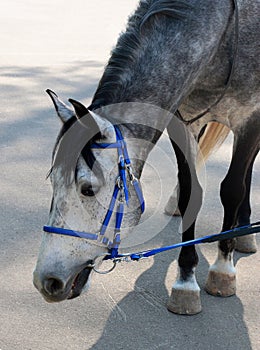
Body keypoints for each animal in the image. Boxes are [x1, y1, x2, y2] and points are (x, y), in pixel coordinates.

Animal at [33, 0, 258, 316]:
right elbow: (191, 192)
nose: (46, 281)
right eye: (53, 182)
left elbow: (233, 188)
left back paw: (243, 231)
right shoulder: (181, 121)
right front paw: (185, 282)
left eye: (87, 189)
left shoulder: (251, 118)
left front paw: (222, 270)